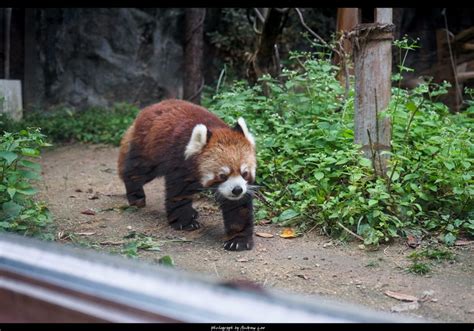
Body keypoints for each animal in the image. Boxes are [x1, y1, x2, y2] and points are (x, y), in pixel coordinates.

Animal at [118, 99, 260, 252]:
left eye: (244, 173)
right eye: (222, 175)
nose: (237, 189)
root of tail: (151, 107)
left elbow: (238, 207)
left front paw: (238, 240)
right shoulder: (179, 161)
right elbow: (178, 195)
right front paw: (185, 222)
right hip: (149, 149)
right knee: (138, 171)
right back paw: (136, 196)